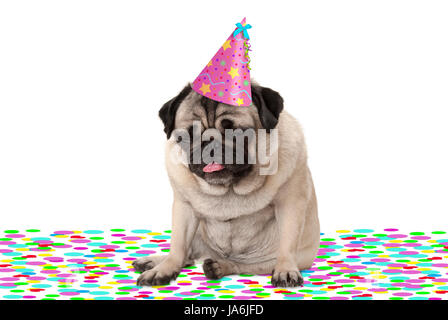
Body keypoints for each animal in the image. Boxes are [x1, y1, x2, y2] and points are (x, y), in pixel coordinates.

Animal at [131, 82, 320, 288]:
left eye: (237, 132)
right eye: (188, 135)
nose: (209, 142)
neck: (229, 188)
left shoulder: (290, 204)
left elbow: (287, 243)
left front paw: (286, 269)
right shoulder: (184, 207)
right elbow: (177, 245)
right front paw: (165, 268)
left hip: (278, 259)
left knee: (241, 265)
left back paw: (218, 266)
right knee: (186, 254)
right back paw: (153, 261)